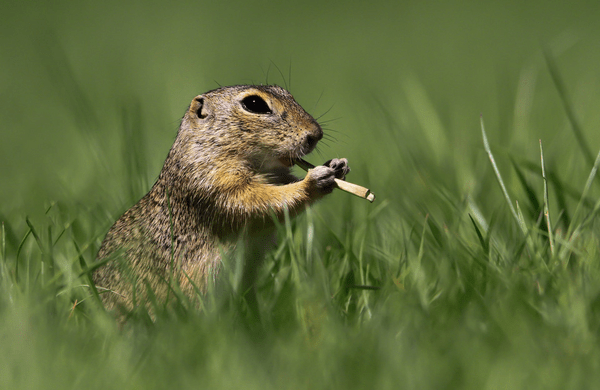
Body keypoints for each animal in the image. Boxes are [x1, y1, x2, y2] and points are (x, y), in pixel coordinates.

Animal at [91, 84, 350, 310]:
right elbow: (258, 201)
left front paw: (338, 165)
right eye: (254, 104)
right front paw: (315, 180)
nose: (316, 134)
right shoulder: (214, 185)